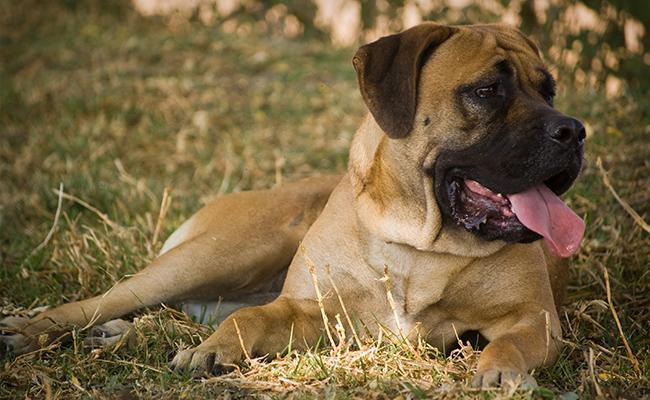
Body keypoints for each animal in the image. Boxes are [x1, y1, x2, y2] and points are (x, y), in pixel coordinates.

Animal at [1, 22, 588, 388]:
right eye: (487, 91)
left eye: (549, 90)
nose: (574, 131)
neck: (414, 241)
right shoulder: (308, 309)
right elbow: (252, 320)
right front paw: (213, 352)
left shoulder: (531, 317)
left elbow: (510, 343)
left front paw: (500, 370)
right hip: (221, 255)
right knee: (111, 299)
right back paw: (35, 330)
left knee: (176, 315)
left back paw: (119, 335)